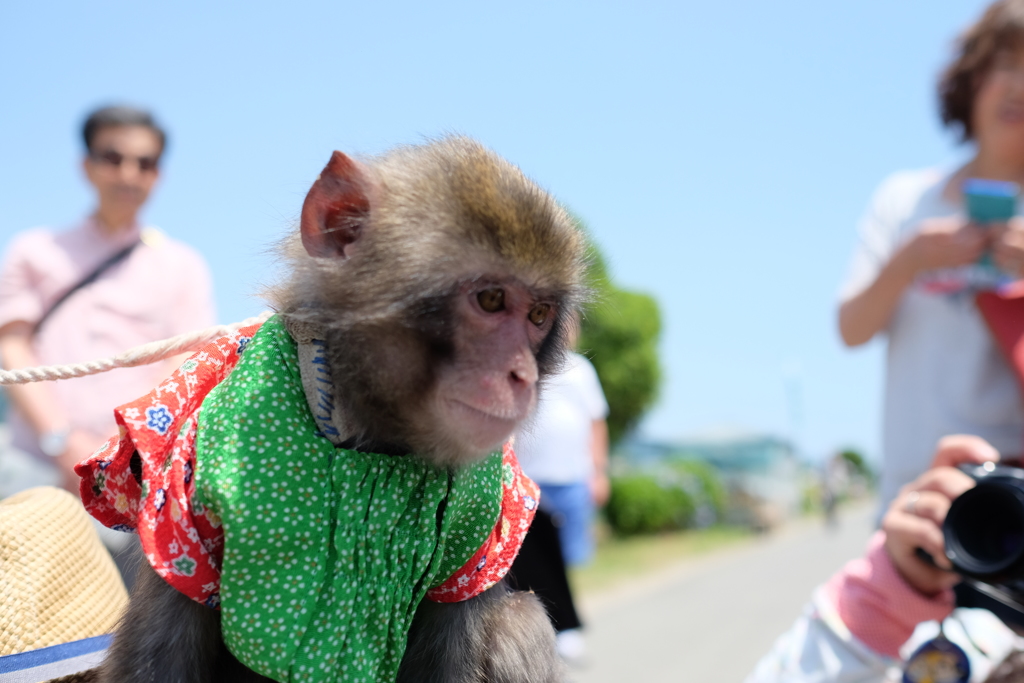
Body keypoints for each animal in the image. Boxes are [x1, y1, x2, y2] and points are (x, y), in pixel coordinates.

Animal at [72, 137, 589, 683]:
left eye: (538, 315)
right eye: (490, 300)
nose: (522, 376)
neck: (375, 438)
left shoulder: (478, 533)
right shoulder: (179, 511)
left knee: (521, 620)